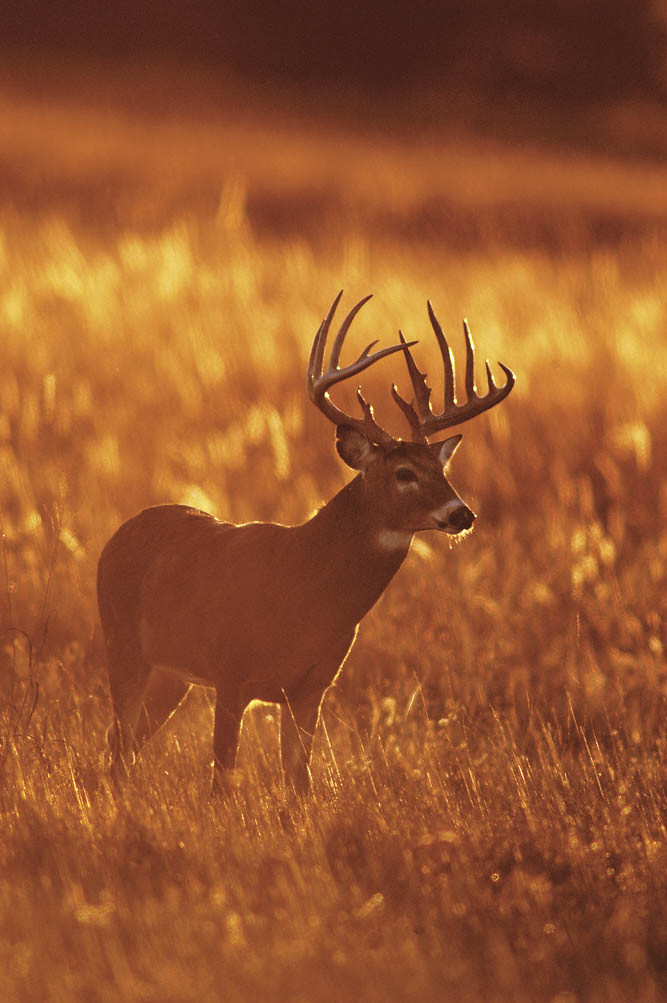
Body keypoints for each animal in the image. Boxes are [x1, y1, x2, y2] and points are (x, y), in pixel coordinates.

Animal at [97, 292, 514, 794]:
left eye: (442, 469)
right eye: (404, 473)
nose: (462, 514)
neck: (307, 588)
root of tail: (119, 533)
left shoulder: (311, 688)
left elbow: (300, 783)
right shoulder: (232, 672)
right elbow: (223, 780)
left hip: (171, 674)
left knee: (126, 746)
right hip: (122, 644)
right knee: (117, 744)